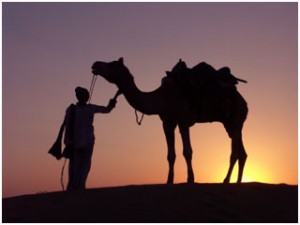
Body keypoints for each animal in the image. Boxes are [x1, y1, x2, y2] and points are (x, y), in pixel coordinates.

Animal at [91, 57, 248, 184]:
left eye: (112, 64)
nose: (95, 64)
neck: (162, 98)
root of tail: (243, 101)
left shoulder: (183, 121)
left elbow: (187, 151)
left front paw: (190, 179)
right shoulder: (167, 123)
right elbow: (170, 155)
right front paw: (169, 180)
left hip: (236, 119)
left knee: (234, 152)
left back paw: (226, 180)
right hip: (230, 123)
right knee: (242, 152)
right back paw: (238, 182)